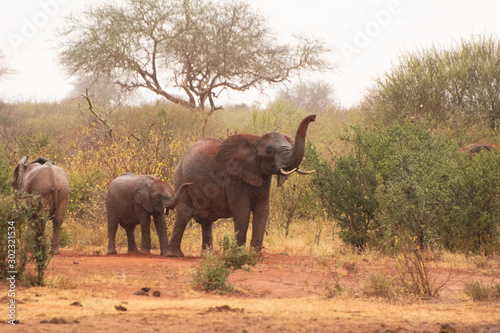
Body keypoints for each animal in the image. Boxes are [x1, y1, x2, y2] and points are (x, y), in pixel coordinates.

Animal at [168, 114, 316, 256]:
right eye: (269, 151)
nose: (313, 117)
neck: (255, 141)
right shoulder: (233, 177)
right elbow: (242, 211)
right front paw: (238, 255)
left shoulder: (263, 177)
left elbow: (263, 210)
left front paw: (256, 255)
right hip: (181, 179)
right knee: (183, 214)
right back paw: (175, 254)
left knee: (206, 220)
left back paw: (207, 255)